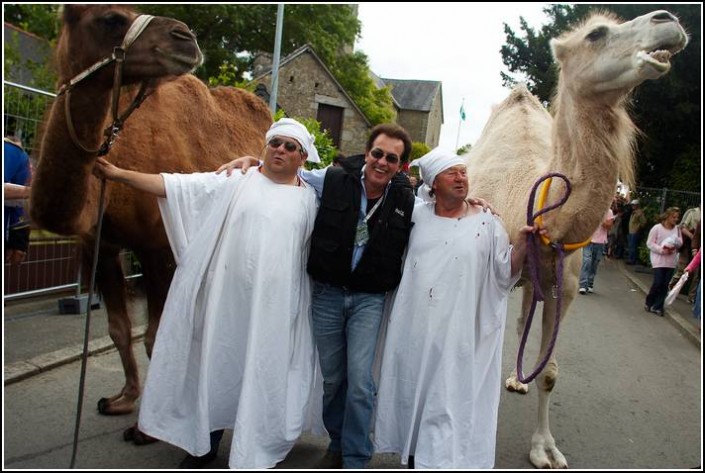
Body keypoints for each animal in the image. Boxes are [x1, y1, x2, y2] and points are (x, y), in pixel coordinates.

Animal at [30, 5, 272, 414]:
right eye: (111, 18)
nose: (185, 37)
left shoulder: (157, 247)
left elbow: (154, 338)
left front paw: (148, 420)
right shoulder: (100, 245)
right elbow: (118, 329)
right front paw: (124, 398)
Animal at [464, 9, 684, 466]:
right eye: (596, 33)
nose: (667, 19)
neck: (530, 202)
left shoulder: (562, 282)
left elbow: (549, 372)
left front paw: (544, 449)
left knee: (523, 319)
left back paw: (517, 379)